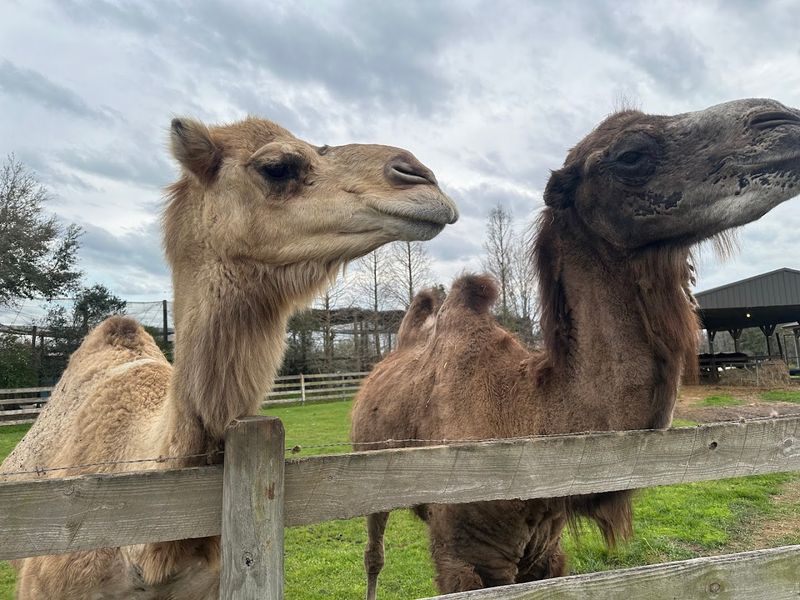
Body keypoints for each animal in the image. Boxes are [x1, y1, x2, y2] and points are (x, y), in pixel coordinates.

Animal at [351, 97, 800, 597]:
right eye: (631, 154)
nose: (782, 119)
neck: (524, 414)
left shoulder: (545, 549)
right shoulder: (461, 560)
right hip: (365, 467)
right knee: (373, 554)